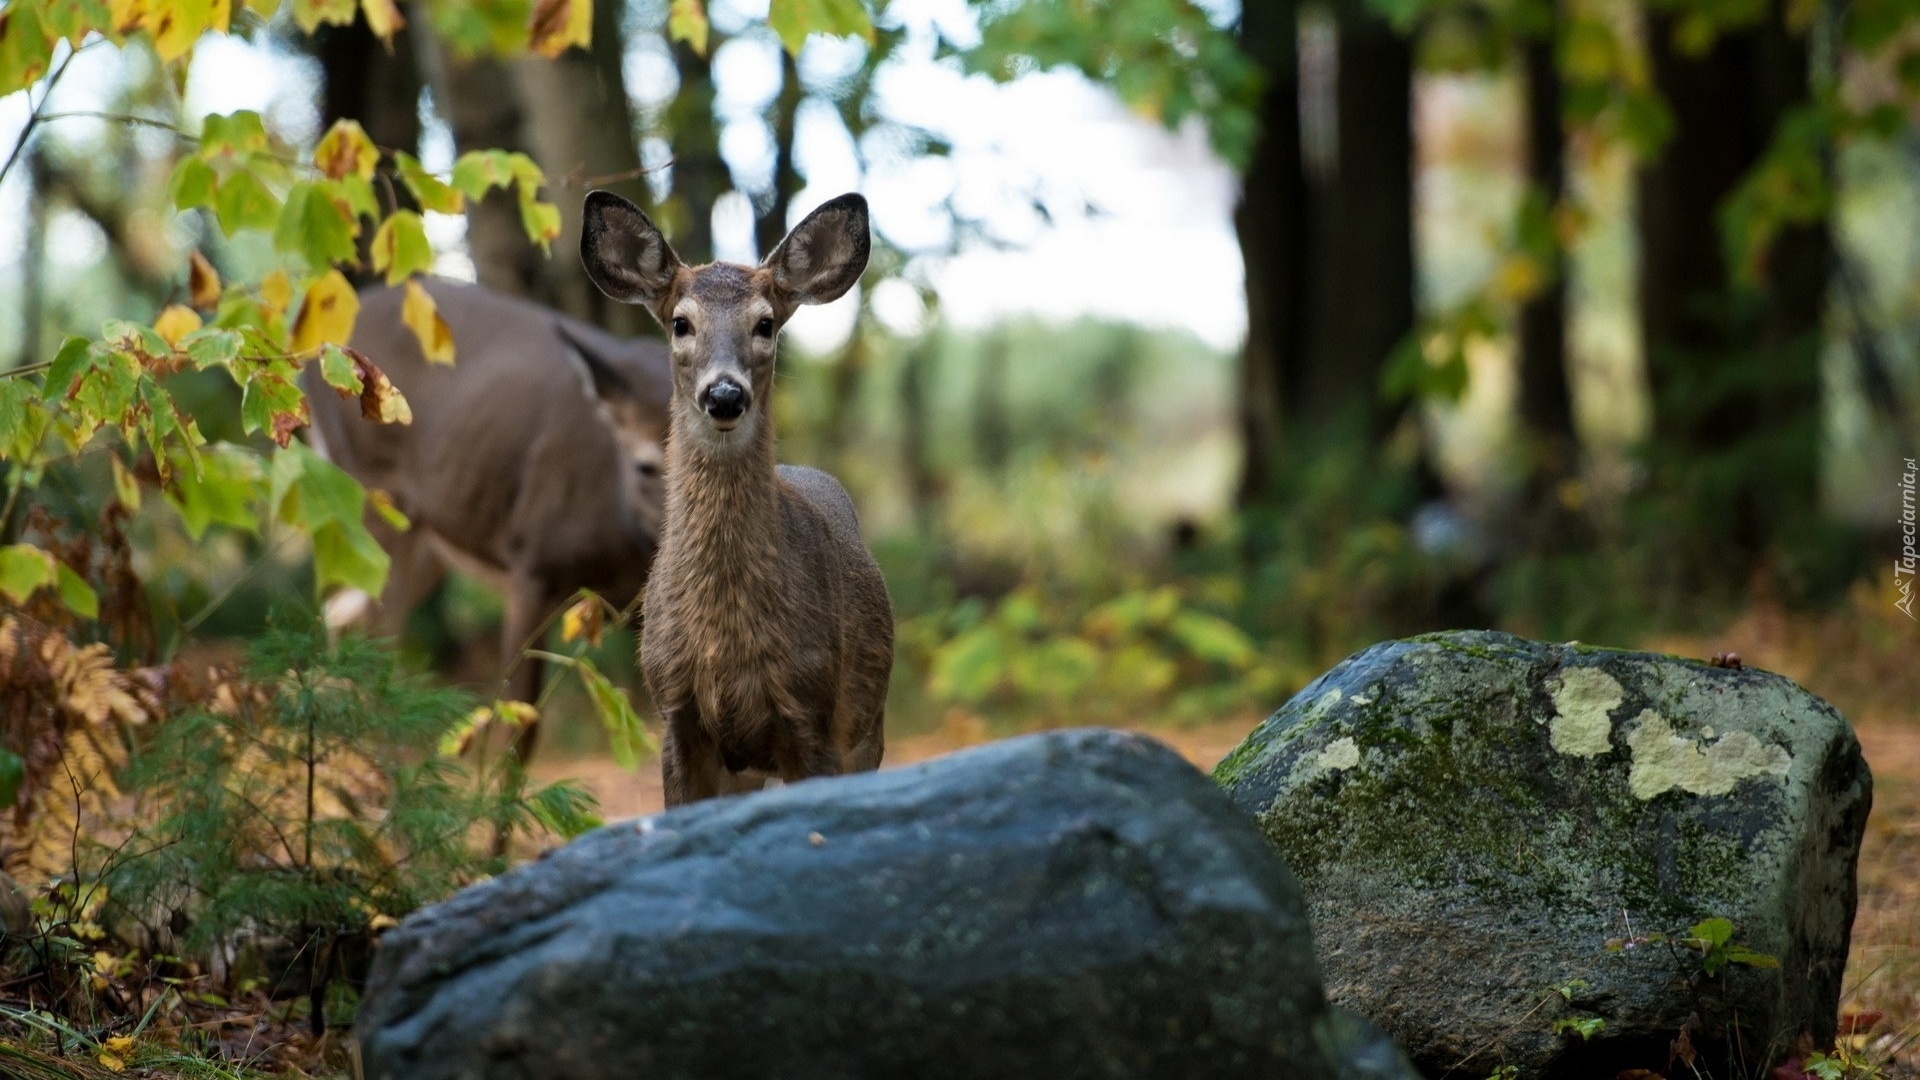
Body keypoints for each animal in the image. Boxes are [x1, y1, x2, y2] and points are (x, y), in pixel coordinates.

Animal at [303, 274, 672, 757]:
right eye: (646, 465)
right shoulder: (532, 563)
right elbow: (519, 725)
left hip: (427, 541)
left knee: (344, 613)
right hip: (375, 491)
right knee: (373, 630)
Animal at [576, 189, 890, 803]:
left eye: (765, 324)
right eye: (680, 323)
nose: (724, 394)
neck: (727, 644)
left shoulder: (812, 713)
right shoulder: (676, 714)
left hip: (869, 725)